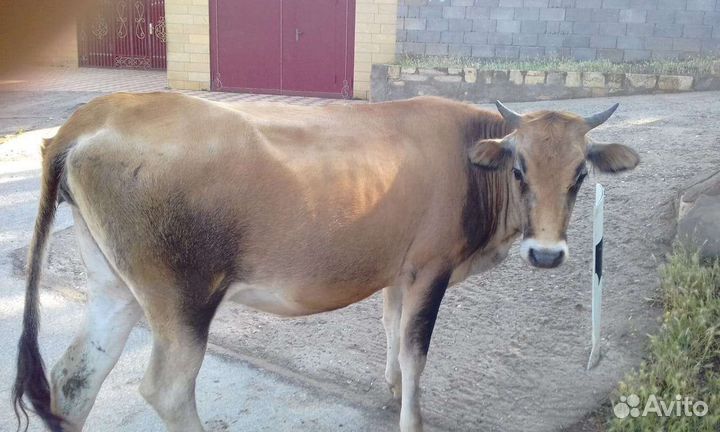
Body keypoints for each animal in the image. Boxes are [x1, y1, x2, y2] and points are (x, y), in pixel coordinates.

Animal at [13, 94, 639, 432]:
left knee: (75, 377)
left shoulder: (400, 269)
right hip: (181, 297)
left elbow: (392, 329)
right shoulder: (432, 266)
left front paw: (390, 390)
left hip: (113, 285)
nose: (547, 254)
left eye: (580, 174)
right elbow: (416, 350)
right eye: (520, 170)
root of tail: (96, 114)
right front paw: (411, 413)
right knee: (167, 388)